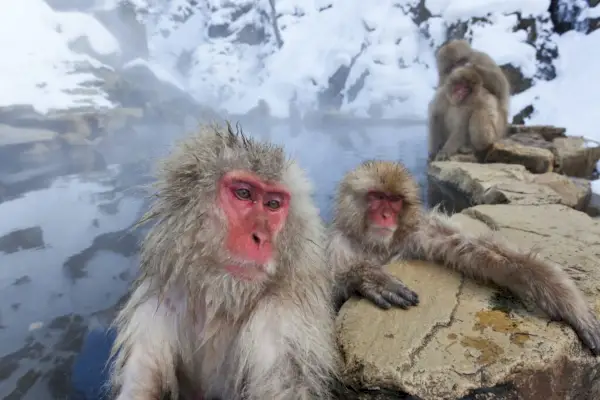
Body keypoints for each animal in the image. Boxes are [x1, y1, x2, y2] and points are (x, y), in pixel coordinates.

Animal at [107, 123, 338, 398]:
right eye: (243, 193)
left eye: (273, 204)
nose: (260, 238)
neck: (221, 301)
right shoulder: (158, 303)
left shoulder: (282, 322)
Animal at [326, 161, 600, 354]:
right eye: (376, 197)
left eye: (394, 201)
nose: (385, 216)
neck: (377, 246)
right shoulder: (336, 245)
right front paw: (369, 277)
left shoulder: (419, 234)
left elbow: (476, 251)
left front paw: (569, 303)